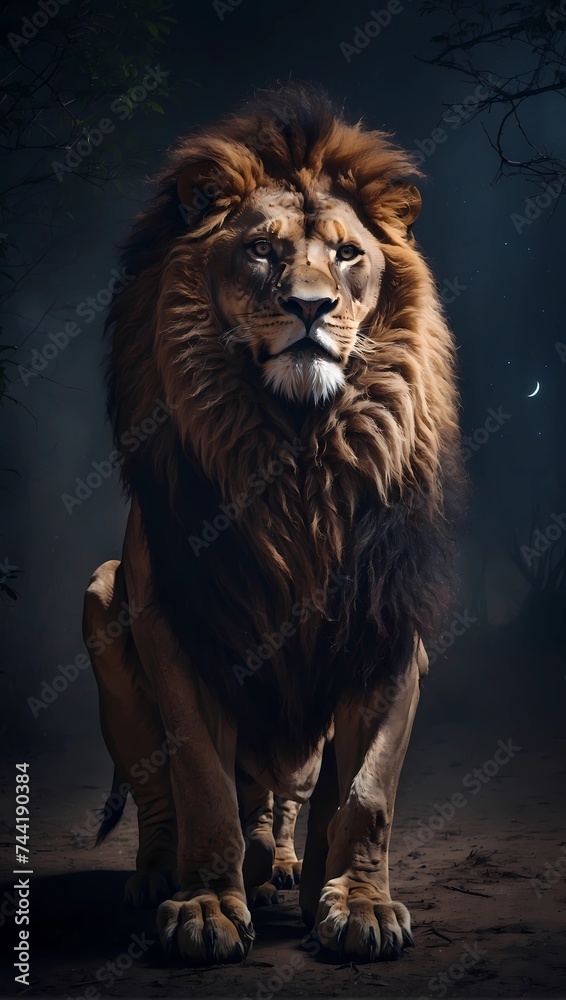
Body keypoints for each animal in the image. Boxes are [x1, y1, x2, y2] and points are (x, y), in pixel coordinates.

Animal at [83, 83, 463, 965]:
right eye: (262, 251)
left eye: (349, 254)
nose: (310, 307)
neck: (299, 453)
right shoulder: (177, 617)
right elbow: (200, 783)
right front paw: (204, 907)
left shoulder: (388, 618)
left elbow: (366, 793)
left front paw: (358, 903)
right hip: (102, 592)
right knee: (168, 797)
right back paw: (167, 874)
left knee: (286, 796)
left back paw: (286, 863)